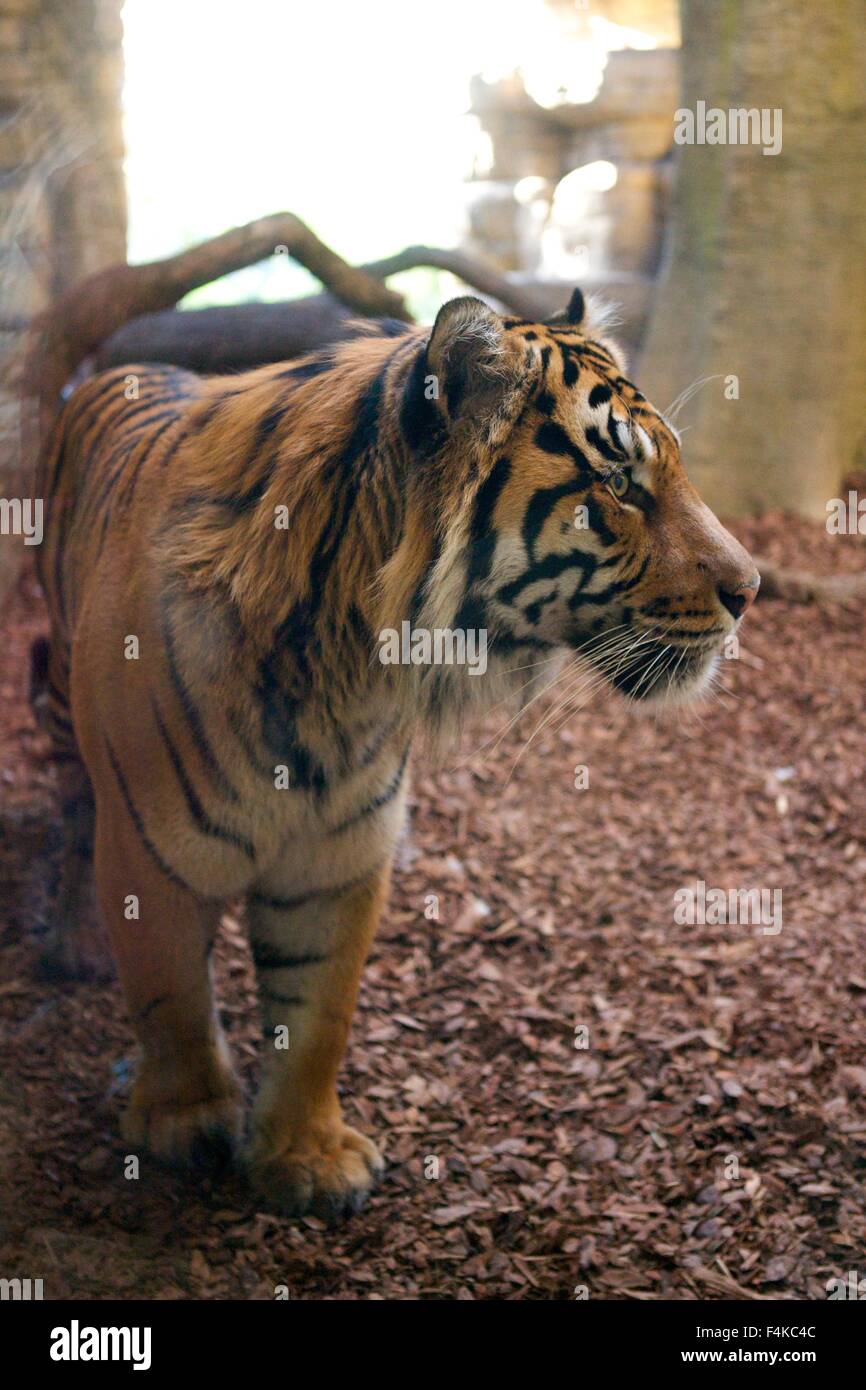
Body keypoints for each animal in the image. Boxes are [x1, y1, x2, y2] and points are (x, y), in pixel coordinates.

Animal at [30, 282, 756, 1217]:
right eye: (619, 484)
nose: (752, 589)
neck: (345, 659)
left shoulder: (339, 855)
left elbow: (317, 1017)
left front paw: (307, 1154)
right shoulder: (157, 854)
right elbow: (172, 994)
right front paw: (184, 1121)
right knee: (70, 794)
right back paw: (77, 938)